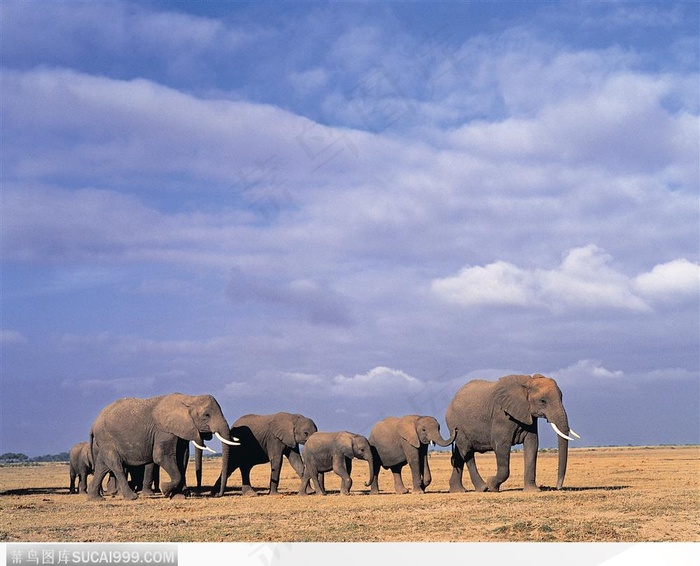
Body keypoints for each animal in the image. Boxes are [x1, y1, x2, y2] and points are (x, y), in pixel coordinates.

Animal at [86, 394, 239, 502]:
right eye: (206, 415)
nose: (218, 495)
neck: (189, 398)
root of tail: (93, 424)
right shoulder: (163, 431)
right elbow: (161, 456)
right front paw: (164, 489)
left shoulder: (178, 432)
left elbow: (182, 458)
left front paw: (177, 496)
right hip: (106, 437)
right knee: (115, 465)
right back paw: (132, 497)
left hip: (105, 441)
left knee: (102, 466)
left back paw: (96, 498)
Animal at [448, 374, 580, 494]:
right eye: (543, 401)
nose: (558, 487)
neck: (528, 383)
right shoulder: (502, 416)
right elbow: (502, 446)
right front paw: (492, 486)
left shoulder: (528, 415)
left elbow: (532, 444)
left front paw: (533, 490)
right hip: (456, 426)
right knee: (467, 451)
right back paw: (483, 488)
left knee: (459, 454)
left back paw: (458, 491)